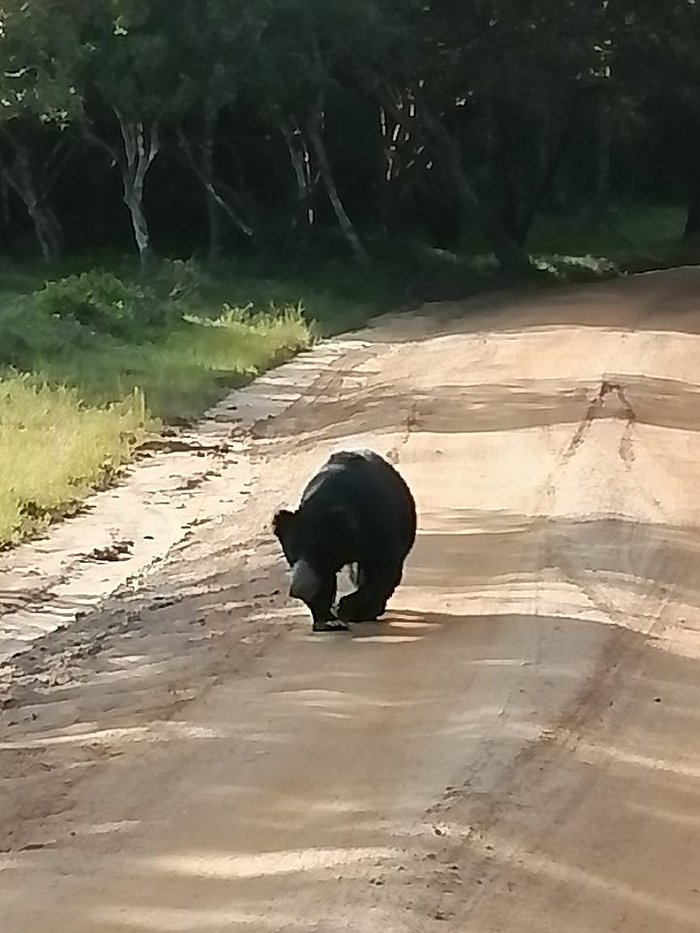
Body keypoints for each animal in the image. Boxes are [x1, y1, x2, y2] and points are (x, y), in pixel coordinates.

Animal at [272, 446, 416, 632]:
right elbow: (324, 581)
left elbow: (381, 566)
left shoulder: (376, 525)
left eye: (319, 551)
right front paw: (328, 621)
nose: (299, 588)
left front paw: (349, 609)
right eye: (291, 552)